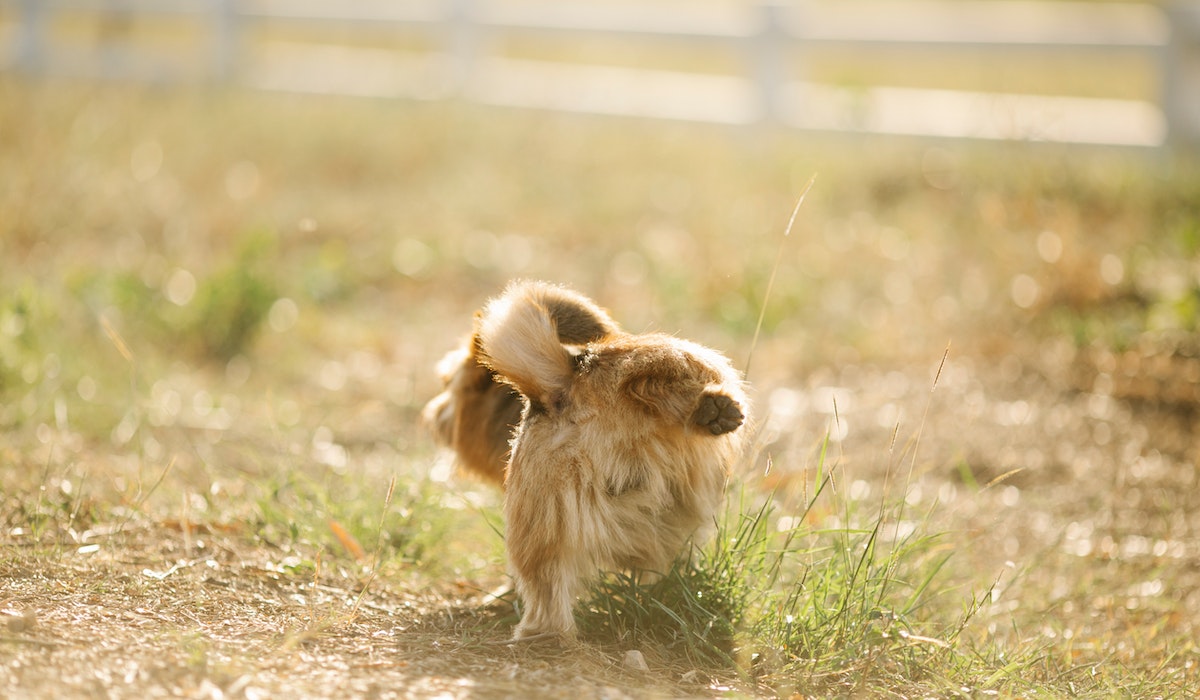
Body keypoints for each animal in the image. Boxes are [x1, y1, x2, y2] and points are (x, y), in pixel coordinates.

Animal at [422, 280, 744, 638]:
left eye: (447, 383)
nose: (431, 413)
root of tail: (571, 379)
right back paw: (710, 410)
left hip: (536, 526)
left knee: (546, 592)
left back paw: (541, 636)